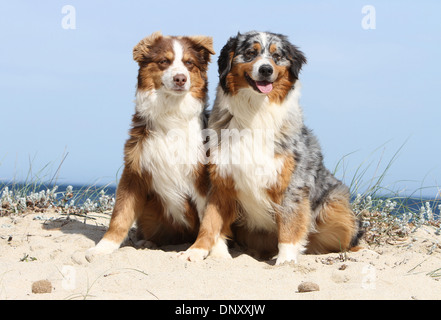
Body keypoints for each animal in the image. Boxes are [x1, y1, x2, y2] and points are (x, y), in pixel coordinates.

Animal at [85, 31, 213, 258]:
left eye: (189, 63)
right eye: (164, 61)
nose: (180, 78)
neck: (172, 114)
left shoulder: (201, 178)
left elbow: (208, 220)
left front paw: (200, 250)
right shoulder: (134, 171)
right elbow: (120, 216)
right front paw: (103, 247)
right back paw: (147, 243)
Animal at [177, 31, 362, 264]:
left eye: (277, 56)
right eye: (250, 53)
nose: (266, 69)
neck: (256, 109)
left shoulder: (291, 182)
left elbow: (289, 224)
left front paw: (286, 260)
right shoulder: (221, 180)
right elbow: (210, 222)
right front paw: (200, 251)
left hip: (336, 208)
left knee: (349, 240)